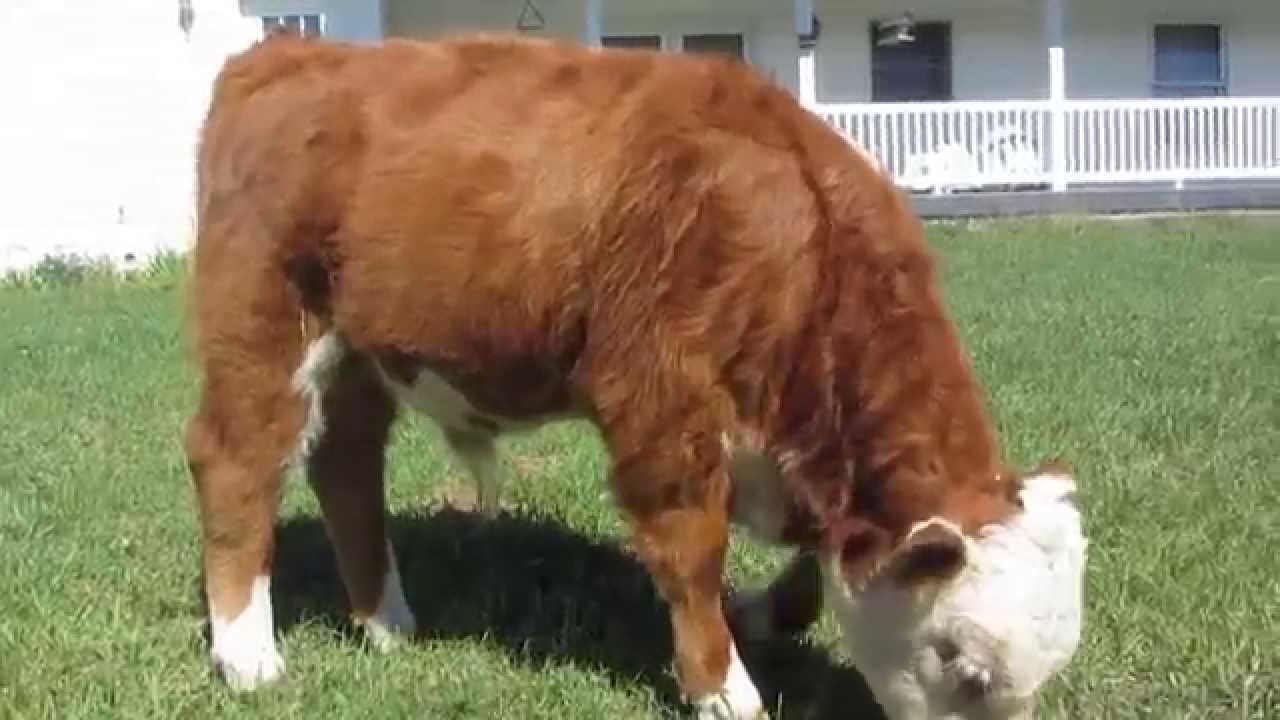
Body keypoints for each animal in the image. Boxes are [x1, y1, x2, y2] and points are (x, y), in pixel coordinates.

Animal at [182, 31, 1087, 720]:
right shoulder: (661, 403)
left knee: (346, 469)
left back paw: (388, 622)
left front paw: (759, 615)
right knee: (237, 461)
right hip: (261, 322)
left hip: (360, 357)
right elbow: (693, 550)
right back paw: (247, 654)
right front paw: (724, 686)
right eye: (966, 666)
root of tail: (291, 53)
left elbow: (807, 570)